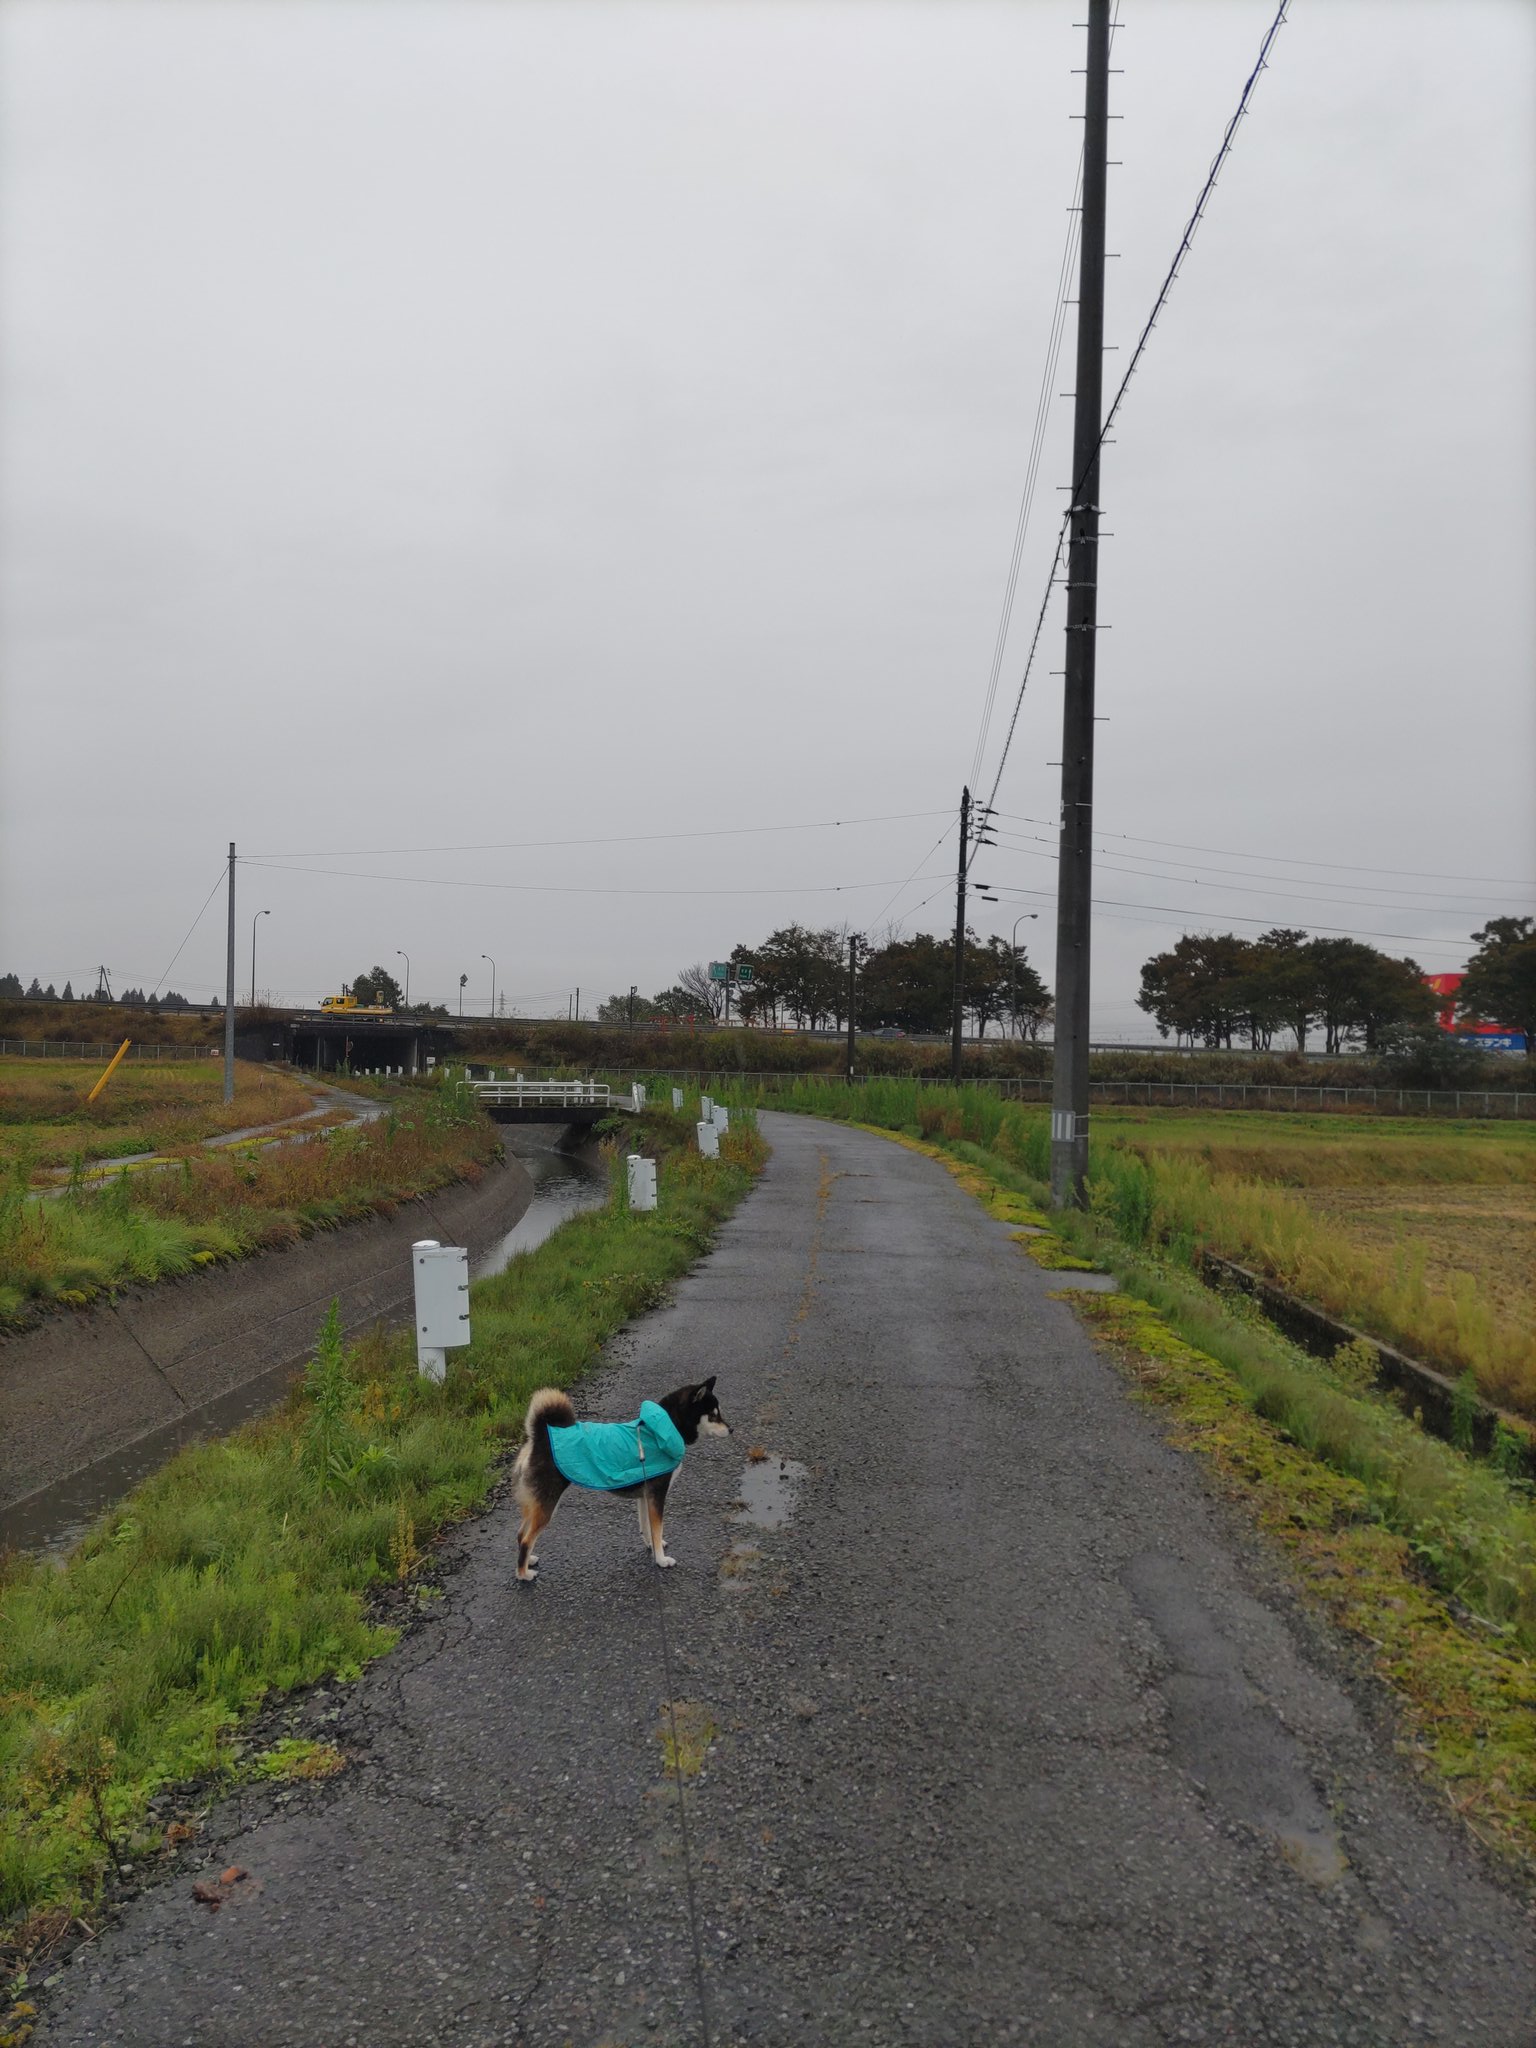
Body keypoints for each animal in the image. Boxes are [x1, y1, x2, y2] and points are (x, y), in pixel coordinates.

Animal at [514, 1376, 729, 1581]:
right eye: (713, 1415)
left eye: (719, 1413)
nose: (731, 1430)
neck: (660, 1430)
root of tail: (540, 1437)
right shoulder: (657, 1494)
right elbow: (657, 1528)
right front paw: (661, 1560)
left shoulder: (645, 1496)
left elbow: (647, 1527)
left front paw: (652, 1546)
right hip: (548, 1502)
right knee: (526, 1539)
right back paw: (523, 1574)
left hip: (536, 1501)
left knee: (520, 1534)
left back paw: (528, 1560)